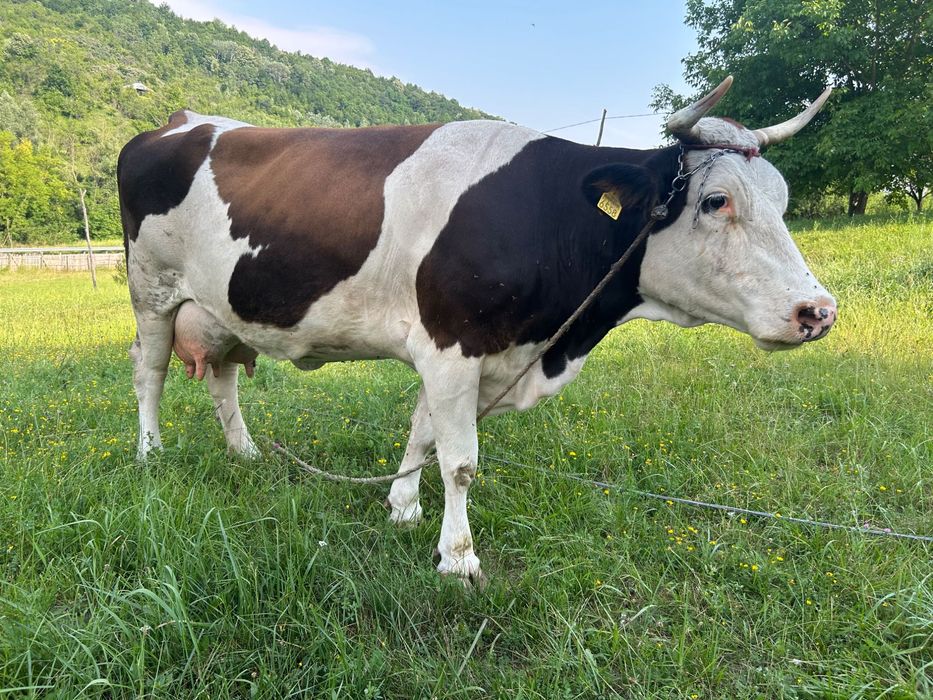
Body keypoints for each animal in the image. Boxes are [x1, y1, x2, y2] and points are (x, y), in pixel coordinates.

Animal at [118, 77, 836, 585]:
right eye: (716, 201)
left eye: (782, 201)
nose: (818, 311)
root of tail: (183, 121)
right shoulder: (453, 344)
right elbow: (459, 460)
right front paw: (458, 558)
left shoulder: (451, 348)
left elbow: (422, 434)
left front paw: (403, 508)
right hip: (151, 291)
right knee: (149, 372)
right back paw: (151, 453)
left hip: (219, 308)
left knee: (222, 378)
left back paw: (244, 452)